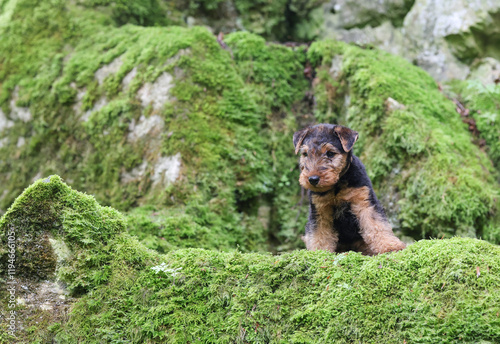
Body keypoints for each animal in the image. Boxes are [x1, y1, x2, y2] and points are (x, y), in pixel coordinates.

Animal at [292, 124, 406, 255]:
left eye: (330, 153)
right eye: (305, 154)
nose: (312, 179)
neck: (336, 186)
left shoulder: (364, 201)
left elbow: (377, 224)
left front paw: (390, 246)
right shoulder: (320, 210)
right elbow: (319, 234)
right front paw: (319, 253)